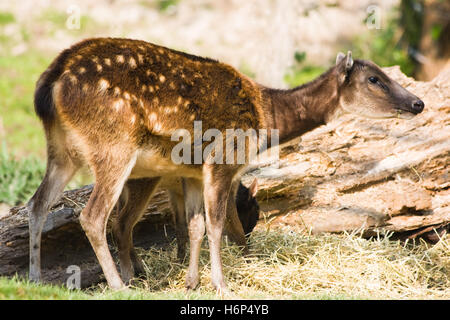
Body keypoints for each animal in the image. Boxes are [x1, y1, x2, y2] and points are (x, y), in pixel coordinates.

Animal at [27, 36, 422, 294]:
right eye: (375, 79)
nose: (418, 103)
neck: (267, 117)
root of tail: (50, 83)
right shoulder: (223, 159)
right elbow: (216, 225)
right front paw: (221, 285)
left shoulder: (191, 171)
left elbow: (195, 226)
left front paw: (191, 282)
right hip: (113, 145)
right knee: (94, 215)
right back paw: (120, 286)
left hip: (60, 149)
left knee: (38, 204)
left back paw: (34, 278)